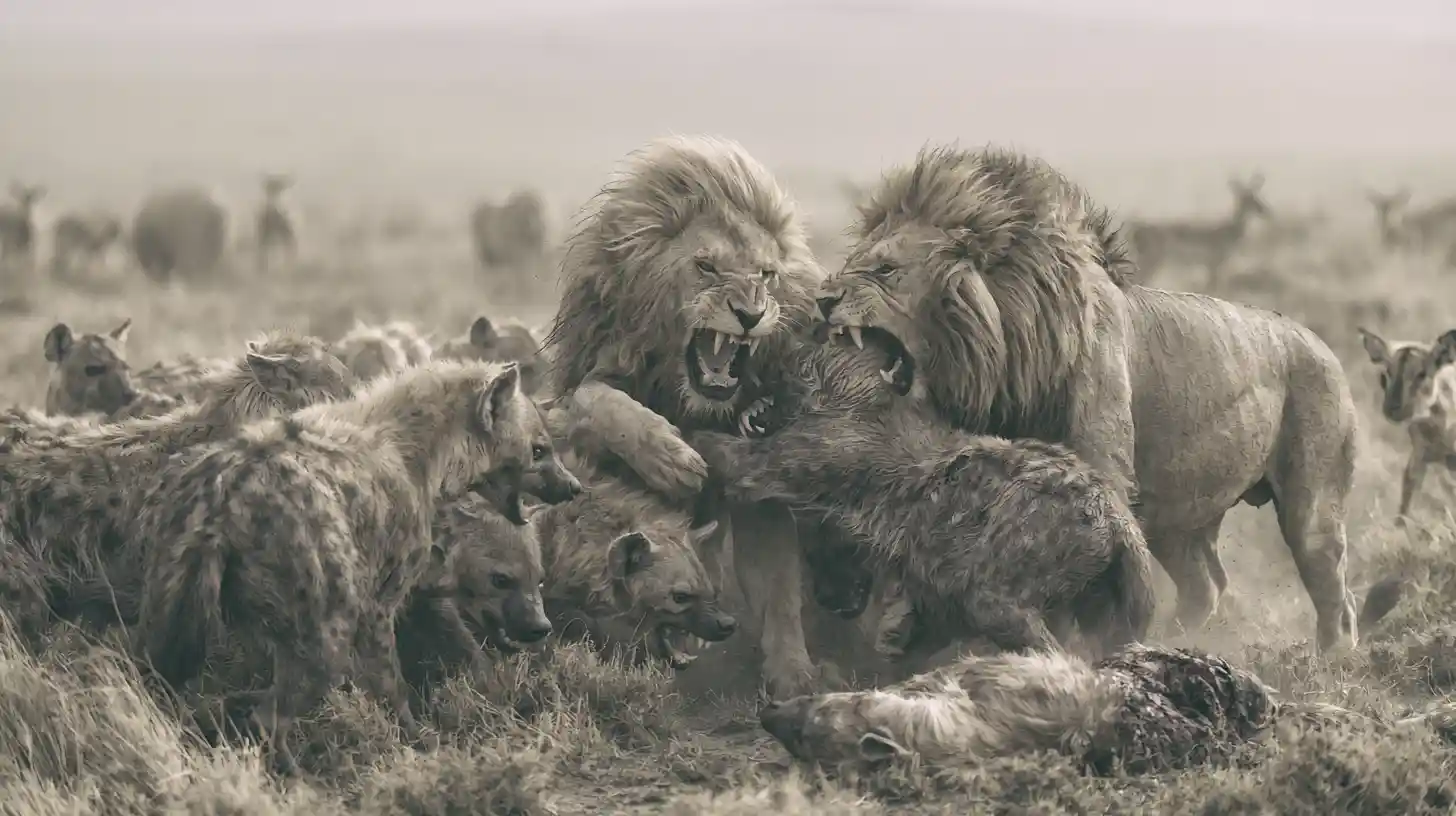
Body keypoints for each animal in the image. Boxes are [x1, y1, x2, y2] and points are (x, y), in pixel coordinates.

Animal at [542, 135, 834, 696]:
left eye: (767, 275)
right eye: (708, 268)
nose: (750, 314)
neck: (688, 395)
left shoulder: (756, 486)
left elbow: (779, 588)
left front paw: (793, 677)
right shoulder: (594, 382)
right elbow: (596, 401)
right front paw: (670, 458)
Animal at [812, 145, 1359, 652]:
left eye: (885, 269)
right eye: (852, 262)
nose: (822, 299)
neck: (1006, 356)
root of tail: (1325, 347)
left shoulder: (1102, 469)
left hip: (1312, 500)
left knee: (1335, 591)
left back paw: (1329, 662)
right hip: (1179, 522)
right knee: (1206, 587)